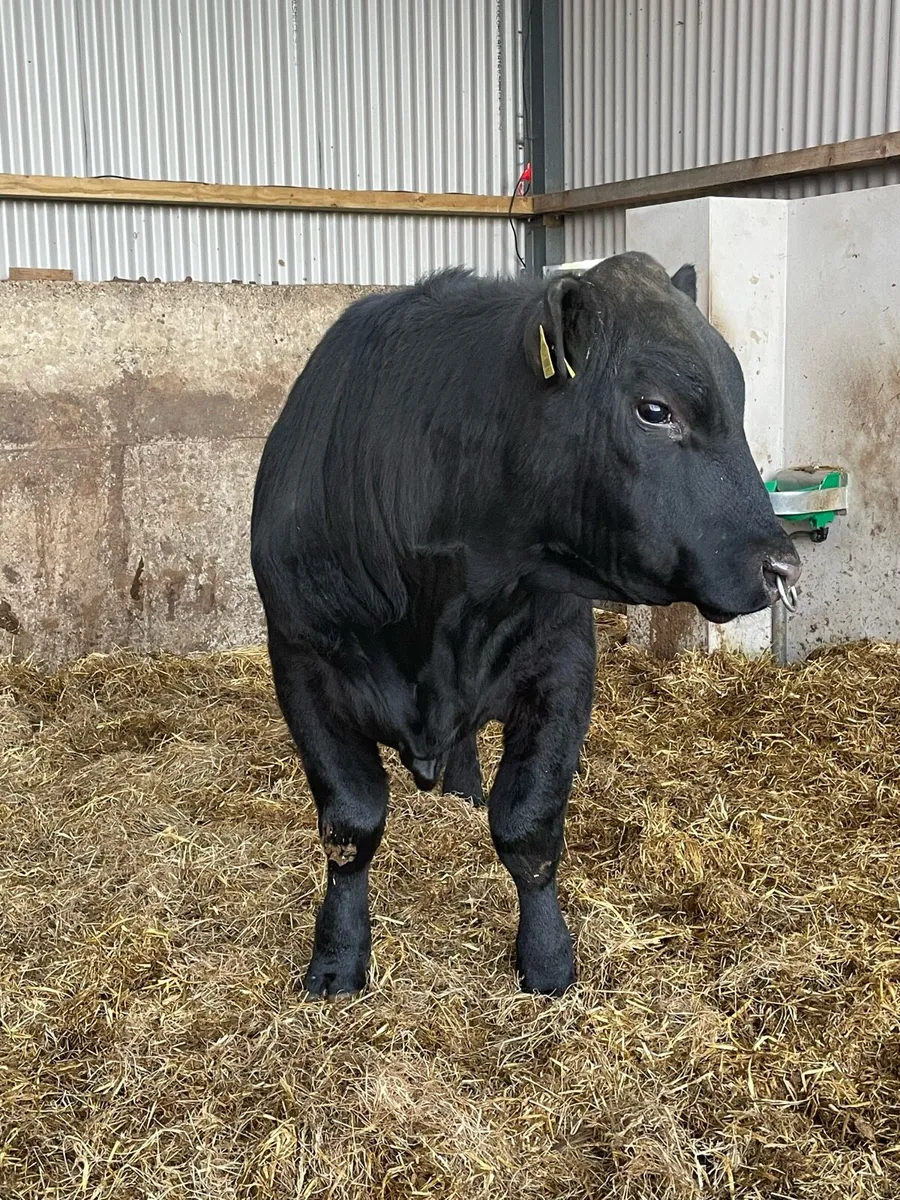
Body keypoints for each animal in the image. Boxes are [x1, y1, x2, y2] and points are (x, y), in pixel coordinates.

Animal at [250, 253, 800, 998]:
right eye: (655, 410)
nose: (783, 564)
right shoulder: (302, 664)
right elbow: (350, 825)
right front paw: (337, 958)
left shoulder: (563, 666)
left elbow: (528, 826)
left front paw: (546, 958)